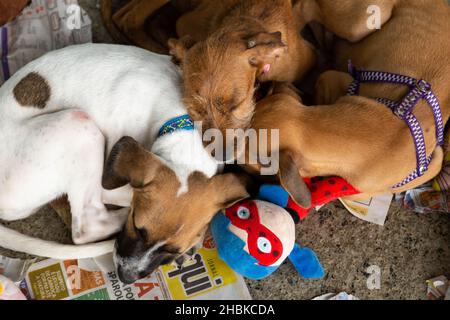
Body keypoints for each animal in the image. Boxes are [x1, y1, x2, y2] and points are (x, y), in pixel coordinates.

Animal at [0, 43, 250, 284]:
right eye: (137, 228)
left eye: (173, 249)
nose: (126, 278)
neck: (184, 125)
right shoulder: (108, 183)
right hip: (78, 125)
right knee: (86, 227)